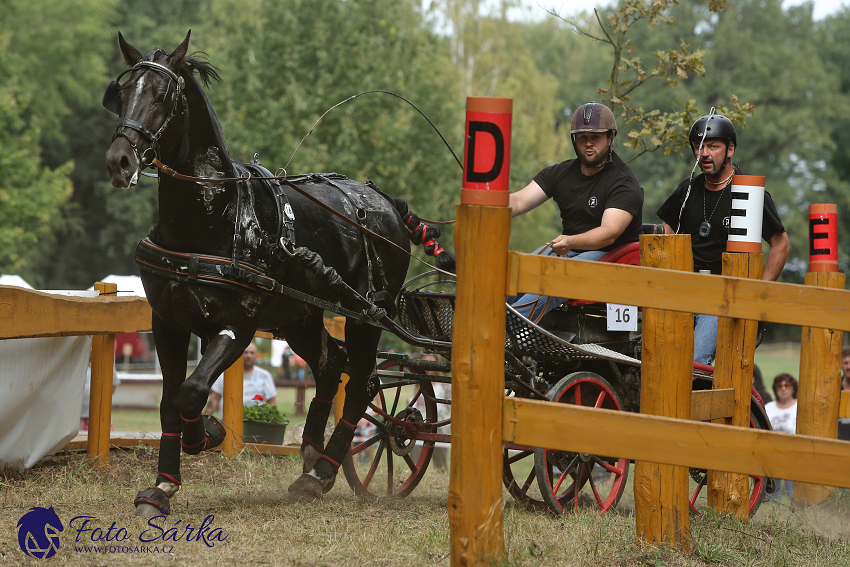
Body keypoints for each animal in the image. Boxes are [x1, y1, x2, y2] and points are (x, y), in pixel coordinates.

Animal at [104, 32, 416, 516]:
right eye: (122, 94)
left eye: (162, 96)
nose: (119, 160)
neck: (212, 217)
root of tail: (386, 203)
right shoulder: (168, 322)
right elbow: (171, 400)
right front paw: (162, 486)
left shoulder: (237, 326)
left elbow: (192, 390)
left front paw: (207, 434)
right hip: (299, 317)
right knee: (332, 365)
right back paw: (310, 451)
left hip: (366, 317)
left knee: (363, 383)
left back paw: (322, 471)